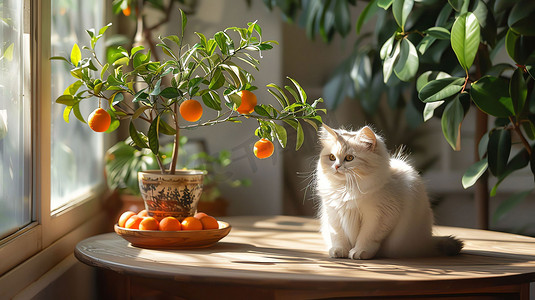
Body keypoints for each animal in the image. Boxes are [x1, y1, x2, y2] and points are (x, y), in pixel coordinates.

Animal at [316, 125, 462, 258]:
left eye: (349, 158)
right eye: (332, 157)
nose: (336, 166)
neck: (346, 189)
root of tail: (427, 241)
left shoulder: (379, 216)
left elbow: (366, 237)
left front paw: (360, 252)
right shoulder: (334, 214)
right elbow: (339, 238)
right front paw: (339, 251)